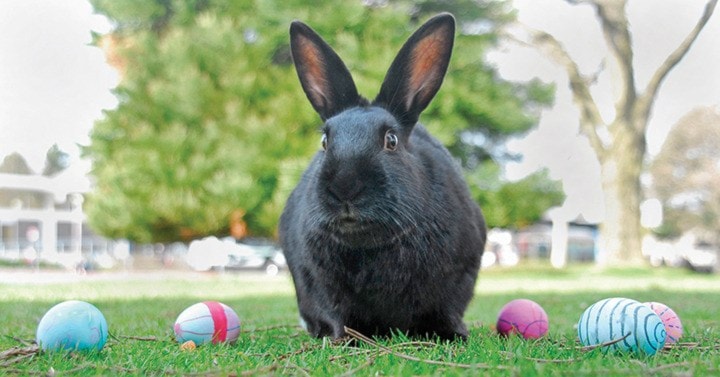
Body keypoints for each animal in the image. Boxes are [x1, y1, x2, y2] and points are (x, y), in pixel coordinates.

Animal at [278, 13, 486, 340]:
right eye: (325, 141)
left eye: (391, 140)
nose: (345, 188)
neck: (368, 241)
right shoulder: (318, 284)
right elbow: (338, 314)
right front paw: (343, 340)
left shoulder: (460, 277)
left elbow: (447, 311)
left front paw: (454, 336)